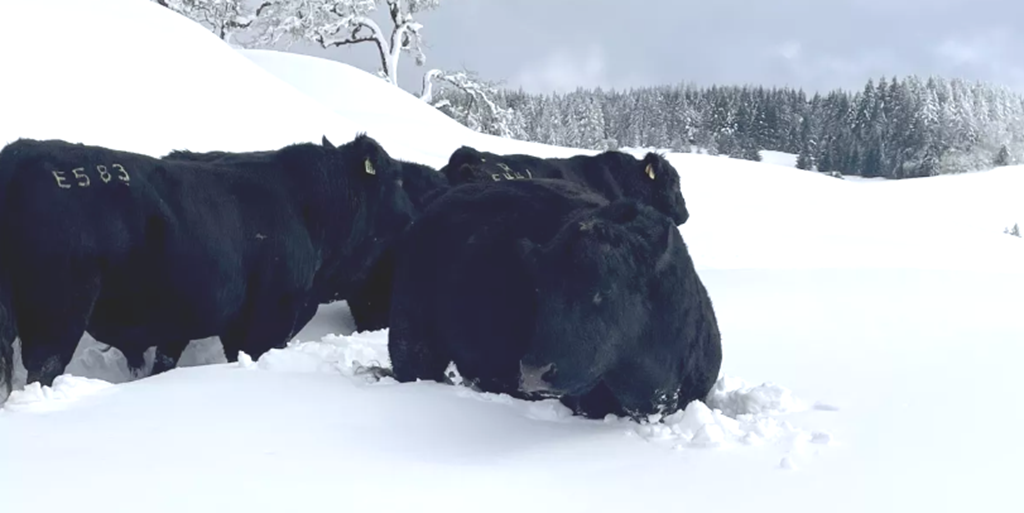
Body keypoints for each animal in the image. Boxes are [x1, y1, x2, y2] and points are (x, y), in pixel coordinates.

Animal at [2, 133, 415, 395]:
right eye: (396, 180)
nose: (412, 214)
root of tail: (19, 157)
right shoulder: (269, 320)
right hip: (57, 315)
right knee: (44, 367)